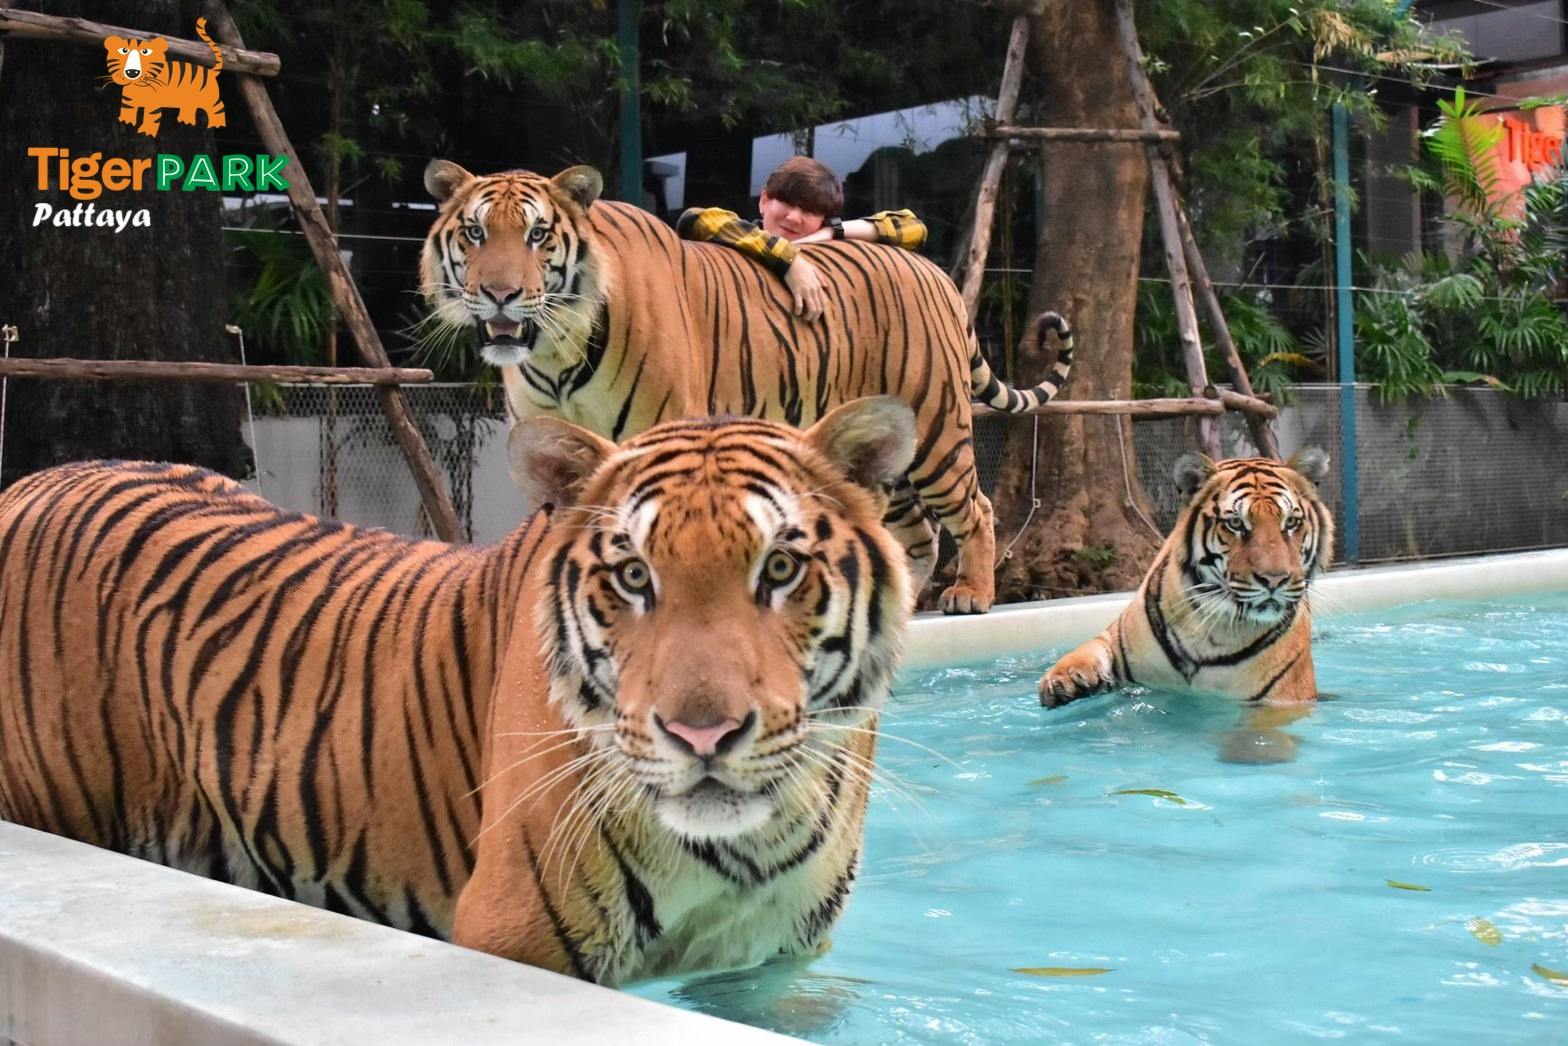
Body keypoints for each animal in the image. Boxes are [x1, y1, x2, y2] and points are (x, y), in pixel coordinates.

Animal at [0, 397, 915, 987]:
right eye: (633, 576)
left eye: (781, 568)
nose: (701, 737)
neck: (744, 850)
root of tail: (30, 483)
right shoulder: (518, 933)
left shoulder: (771, 959)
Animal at [418, 161, 1076, 615]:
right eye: (474, 233)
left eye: (537, 236)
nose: (499, 294)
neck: (557, 349)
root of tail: (933, 270)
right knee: (916, 534)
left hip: (936, 425)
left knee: (975, 508)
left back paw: (971, 593)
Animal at [1038, 450, 1333, 709]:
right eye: (1235, 524)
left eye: (1291, 522)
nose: (1274, 580)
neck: (1213, 628)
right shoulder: (1115, 637)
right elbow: (1089, 648)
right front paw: (1063, 680)